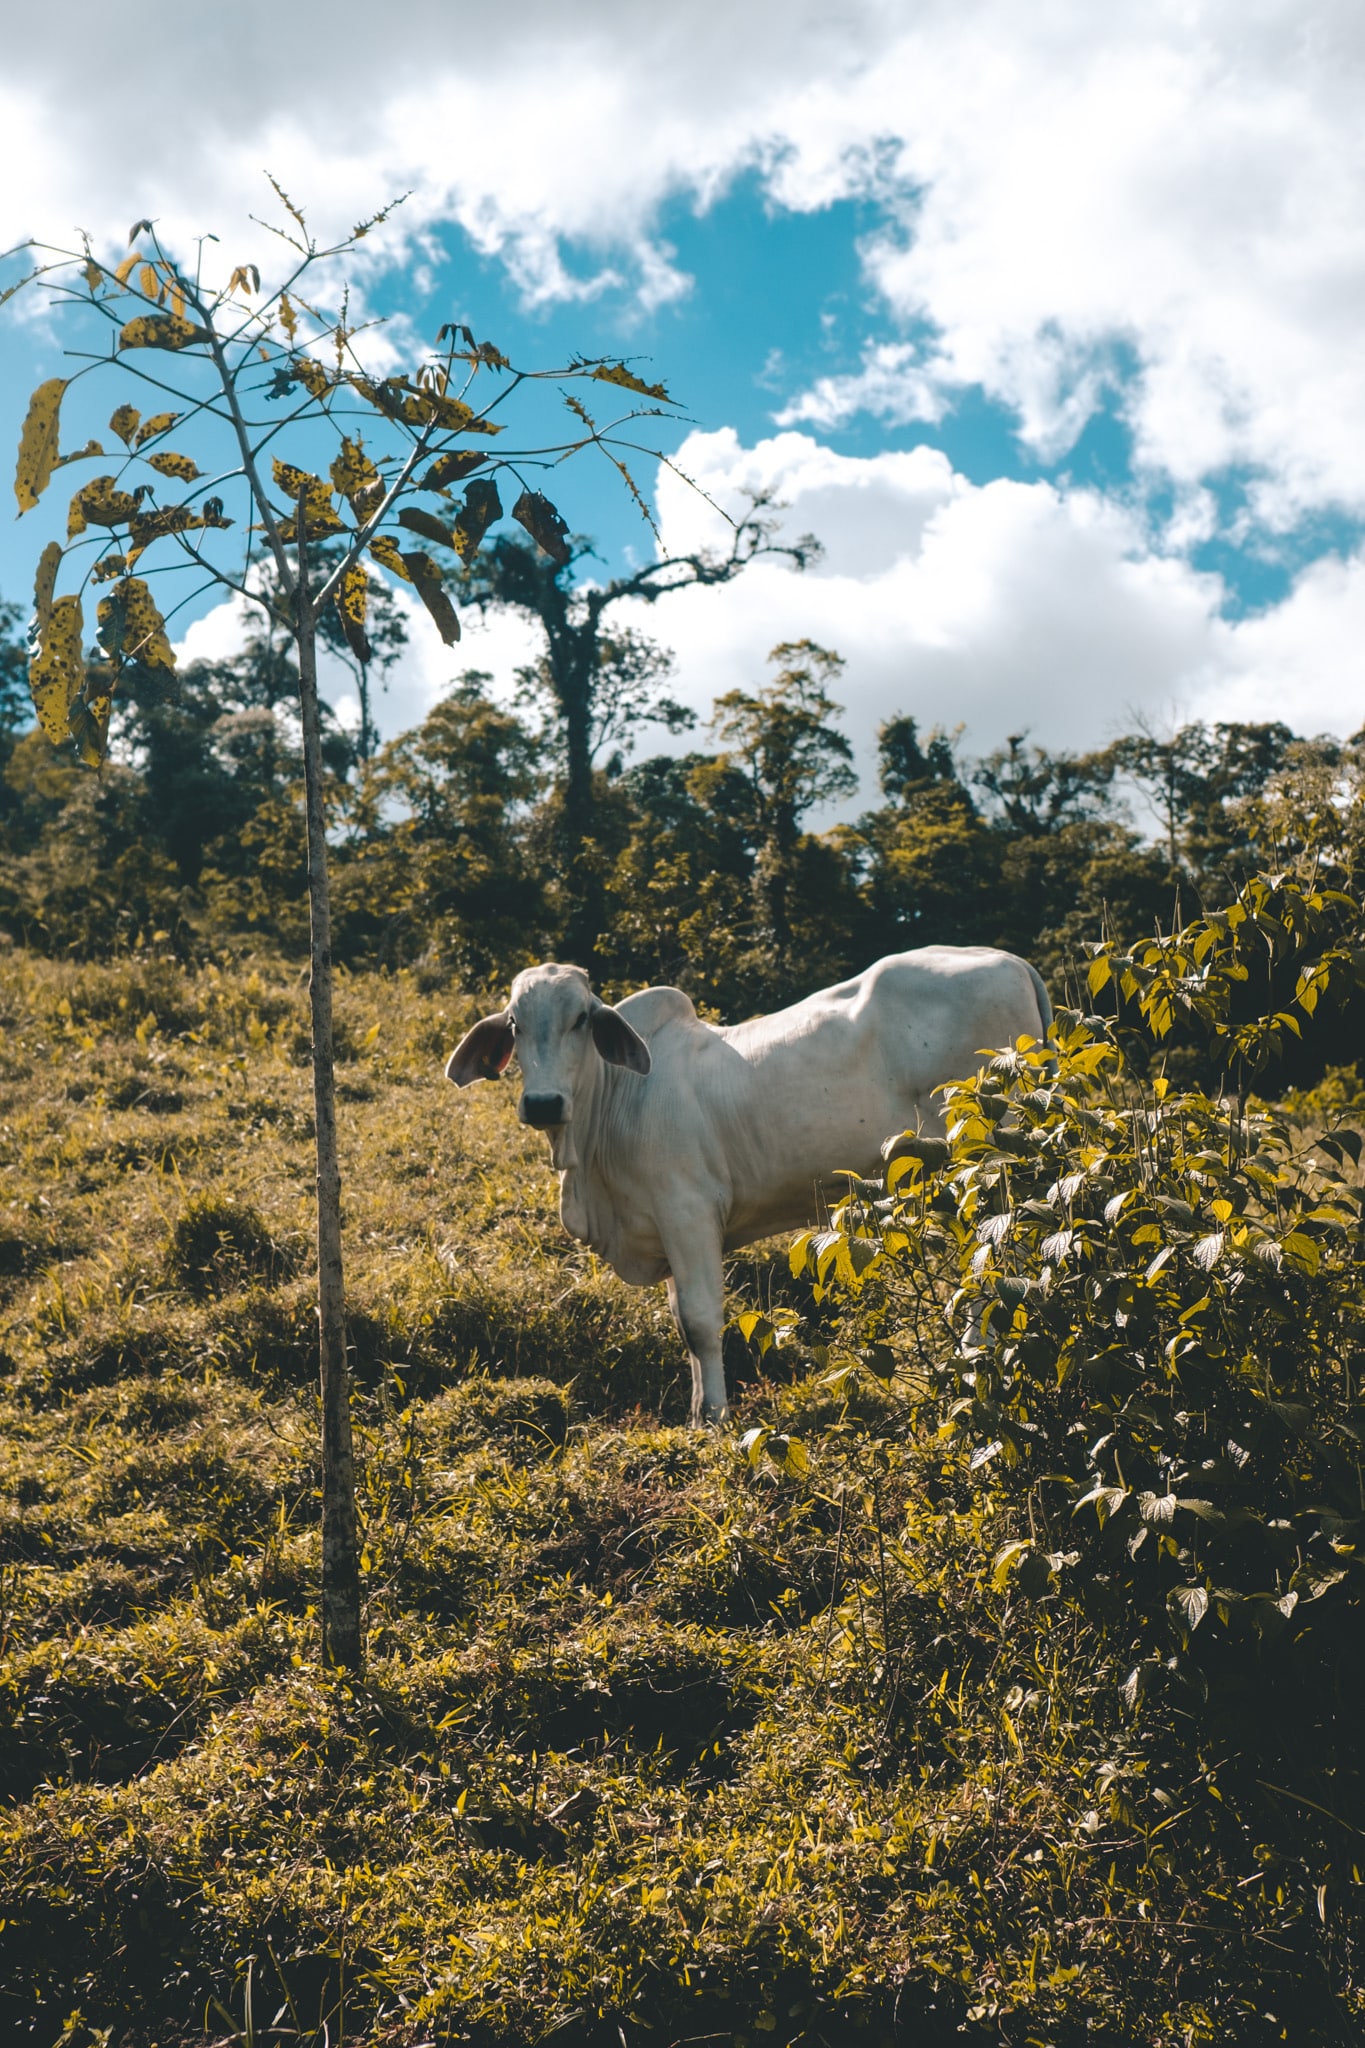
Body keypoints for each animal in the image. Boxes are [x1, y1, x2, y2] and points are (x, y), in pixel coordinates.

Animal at [446, 949, 1051, 1424]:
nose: (543, 1103)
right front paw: (696, 1414)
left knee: (1000, 1262)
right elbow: (682, 1324)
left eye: (579, 1020)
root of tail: (1010, 961)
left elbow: (700, 1320)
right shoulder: (667, 1225)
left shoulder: (687, 1211)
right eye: (516, 1025)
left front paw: (715, 1417)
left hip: (989, 1164)